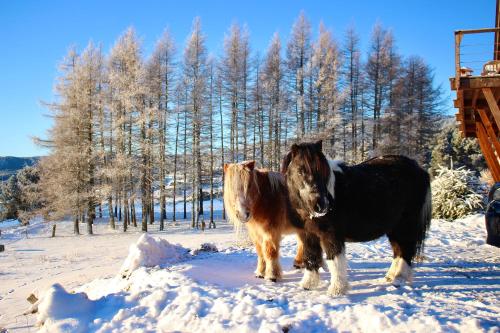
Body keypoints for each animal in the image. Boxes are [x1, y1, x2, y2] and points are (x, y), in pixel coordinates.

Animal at [282, 140, 430, 296]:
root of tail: (420, 170)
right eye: (300, 170)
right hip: (394, 229)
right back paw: (390, 276)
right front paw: (308, 285)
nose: (320, 205)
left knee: (405, 251)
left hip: (405, 226)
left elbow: (334, 261)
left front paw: (337, 290)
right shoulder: (308, 235)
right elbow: (310, 258)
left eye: (323, 171)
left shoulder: (331, 236)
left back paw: (399, 279)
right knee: (399, 251)